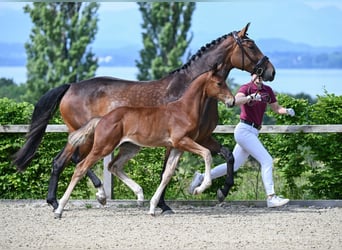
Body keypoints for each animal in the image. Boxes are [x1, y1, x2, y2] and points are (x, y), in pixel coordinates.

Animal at [54, 63, 235, 218]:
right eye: (219, 83)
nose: (232, 101)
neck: (184, 110)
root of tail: (102, 119)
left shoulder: (178, 147)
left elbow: (167, 174)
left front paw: (154, 207)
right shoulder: (182, 141)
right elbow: (207, 154)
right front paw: (199, 189)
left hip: (130, 147)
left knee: (114, 166)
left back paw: (140, 196)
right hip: (103, 146)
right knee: (81, 167)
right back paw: (59, 209)